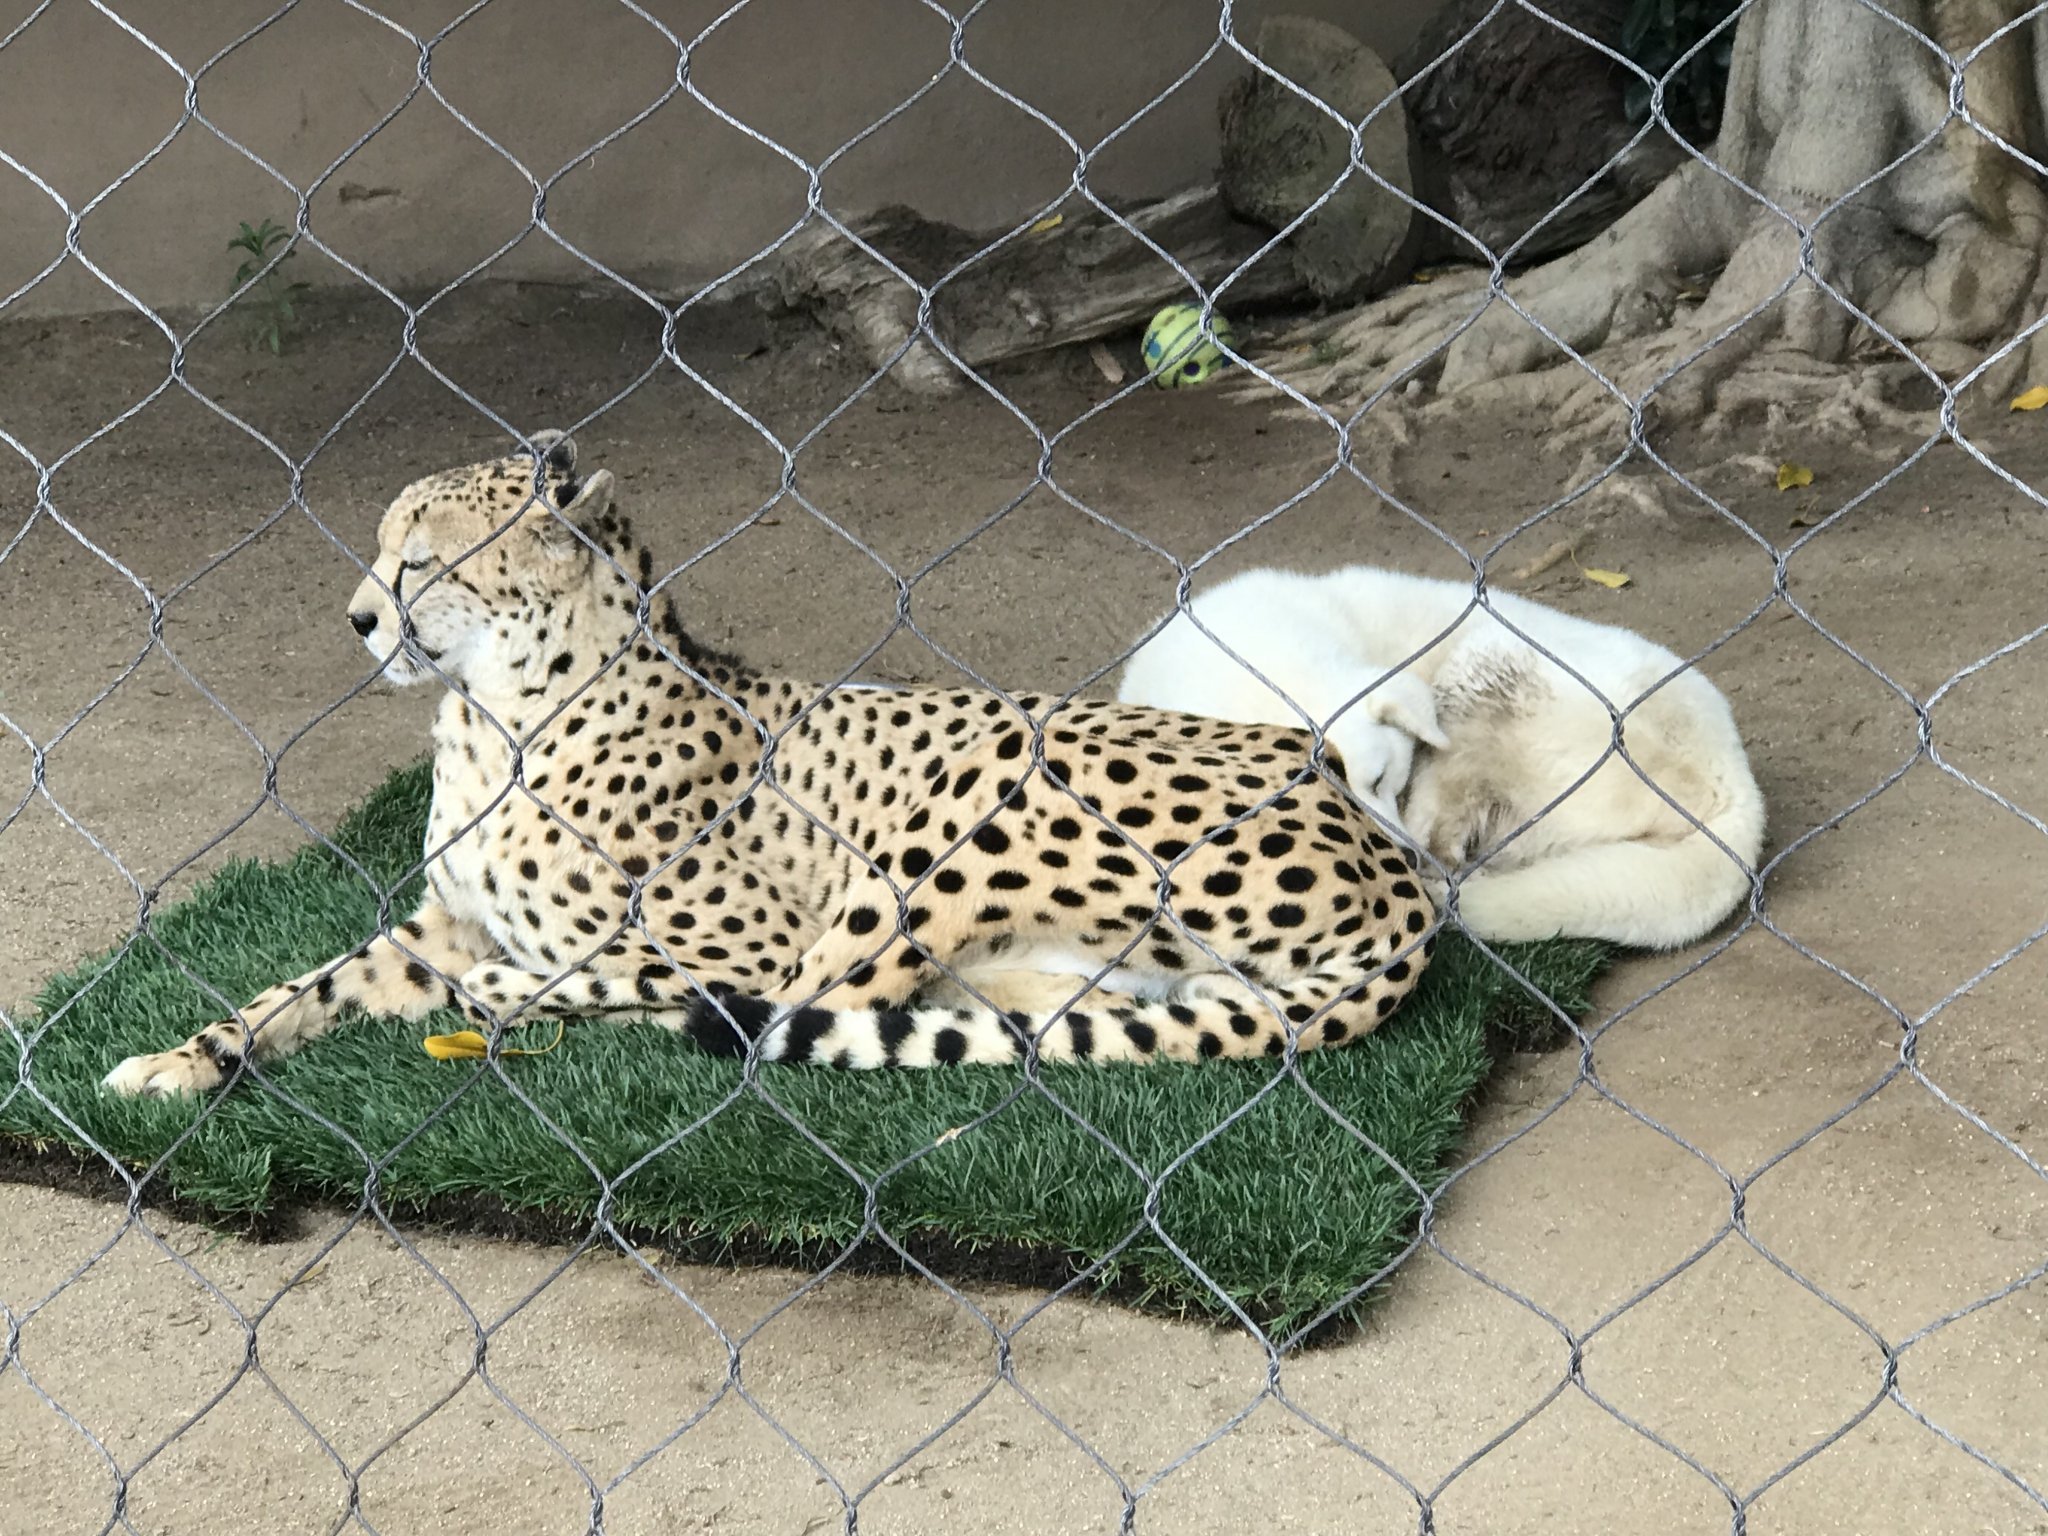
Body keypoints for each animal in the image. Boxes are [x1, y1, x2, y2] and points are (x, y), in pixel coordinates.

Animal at [103, 432, 1438, 1097]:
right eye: (384, 553)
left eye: (421, 562)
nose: (357, 619)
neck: (499, 716)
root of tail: (1393, 862)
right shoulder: (438, 926)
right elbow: (296, 991)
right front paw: (186, 1058)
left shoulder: (729, 942)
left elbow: (664, 978)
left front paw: (529, 991)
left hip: (979, 792)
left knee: (787, 1016)